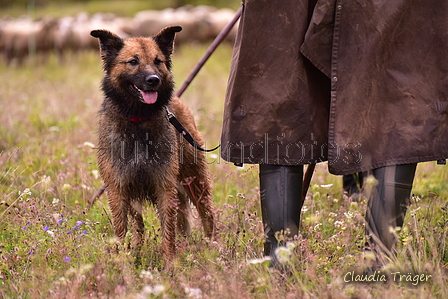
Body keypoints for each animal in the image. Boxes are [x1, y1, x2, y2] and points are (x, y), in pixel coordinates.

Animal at [89, 26, 215, 268]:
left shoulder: (164, 185)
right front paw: (123, 263)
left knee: (208, 215)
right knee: (139, 227)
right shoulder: (119, 188)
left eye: (158, 61)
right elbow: (122, 231)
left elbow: (168, 231)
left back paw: (216, 248)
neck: (138, 119)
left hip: (195, 180)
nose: (153, 80)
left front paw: (170, 264)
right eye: (133, 61)